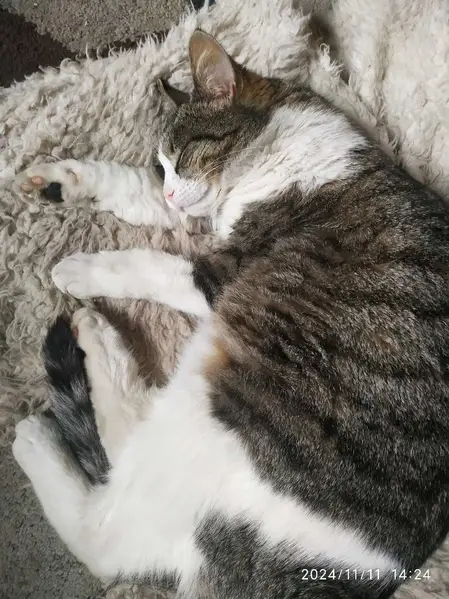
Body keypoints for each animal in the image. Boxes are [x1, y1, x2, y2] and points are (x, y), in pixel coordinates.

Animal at [12, 30, 449, 599]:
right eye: (162, 167)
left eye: (182, 154)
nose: (172, 188)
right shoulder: (197, 215)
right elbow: (134, 191)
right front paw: (62, 180)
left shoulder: (221, 274)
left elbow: (149, 263)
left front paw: (82, 267)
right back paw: (97, 337)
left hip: (214, 420)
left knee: (101, 529)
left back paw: (42, 426)